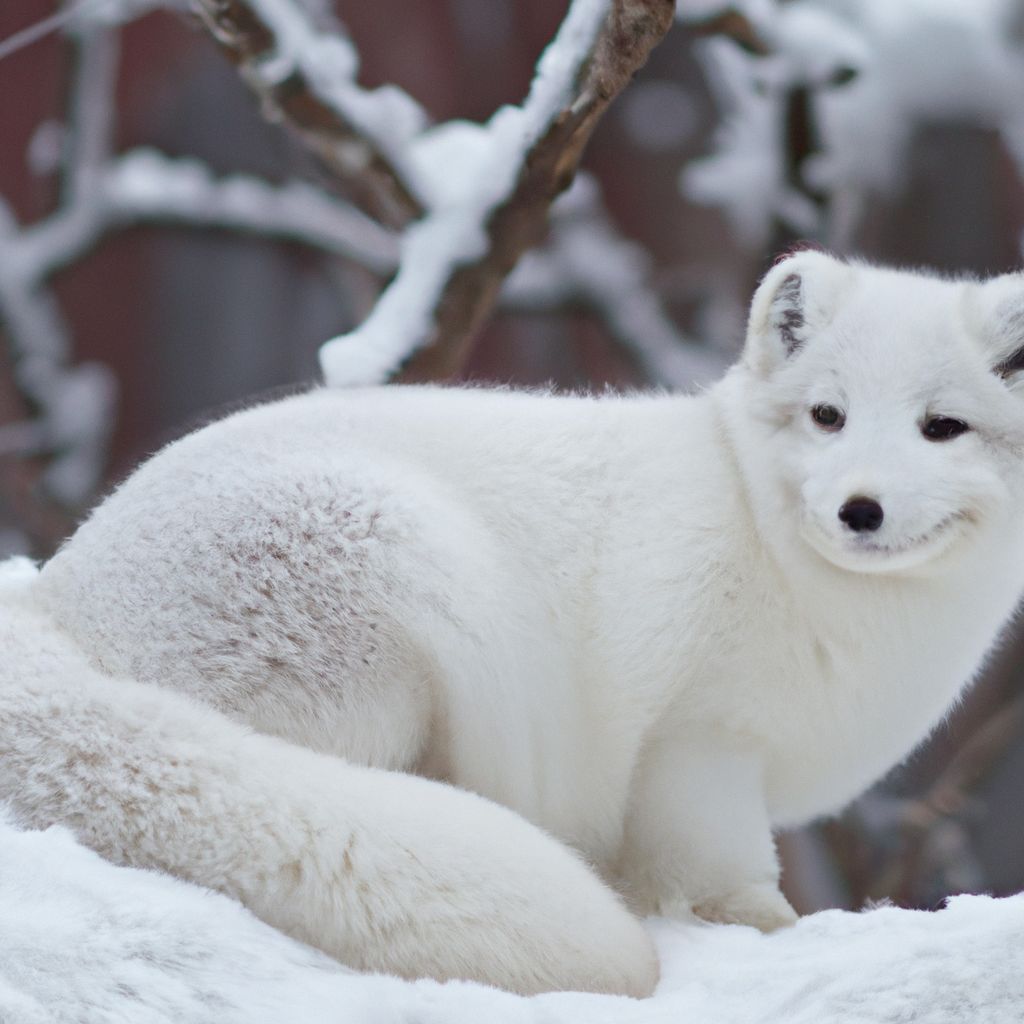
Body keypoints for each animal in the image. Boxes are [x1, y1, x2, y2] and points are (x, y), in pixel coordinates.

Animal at [2, 249, 1024, 999]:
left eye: (942, 427)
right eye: (827, 415)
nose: (861, 509)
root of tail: (58, 602)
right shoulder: (699, 745)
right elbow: (724, 875)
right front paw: (771, 937)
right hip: (414, 578)